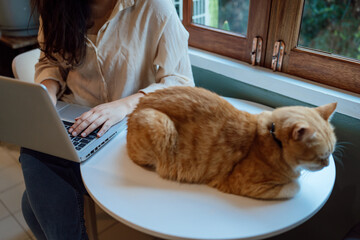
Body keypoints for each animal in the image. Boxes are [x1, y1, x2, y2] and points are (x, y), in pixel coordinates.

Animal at [125, 86, 336, 199]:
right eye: (322, 156)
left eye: (330, 153)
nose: (327, 164)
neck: (272, 138)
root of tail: (139, 105)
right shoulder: (247, 185)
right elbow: (295, 187)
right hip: (159, 124)